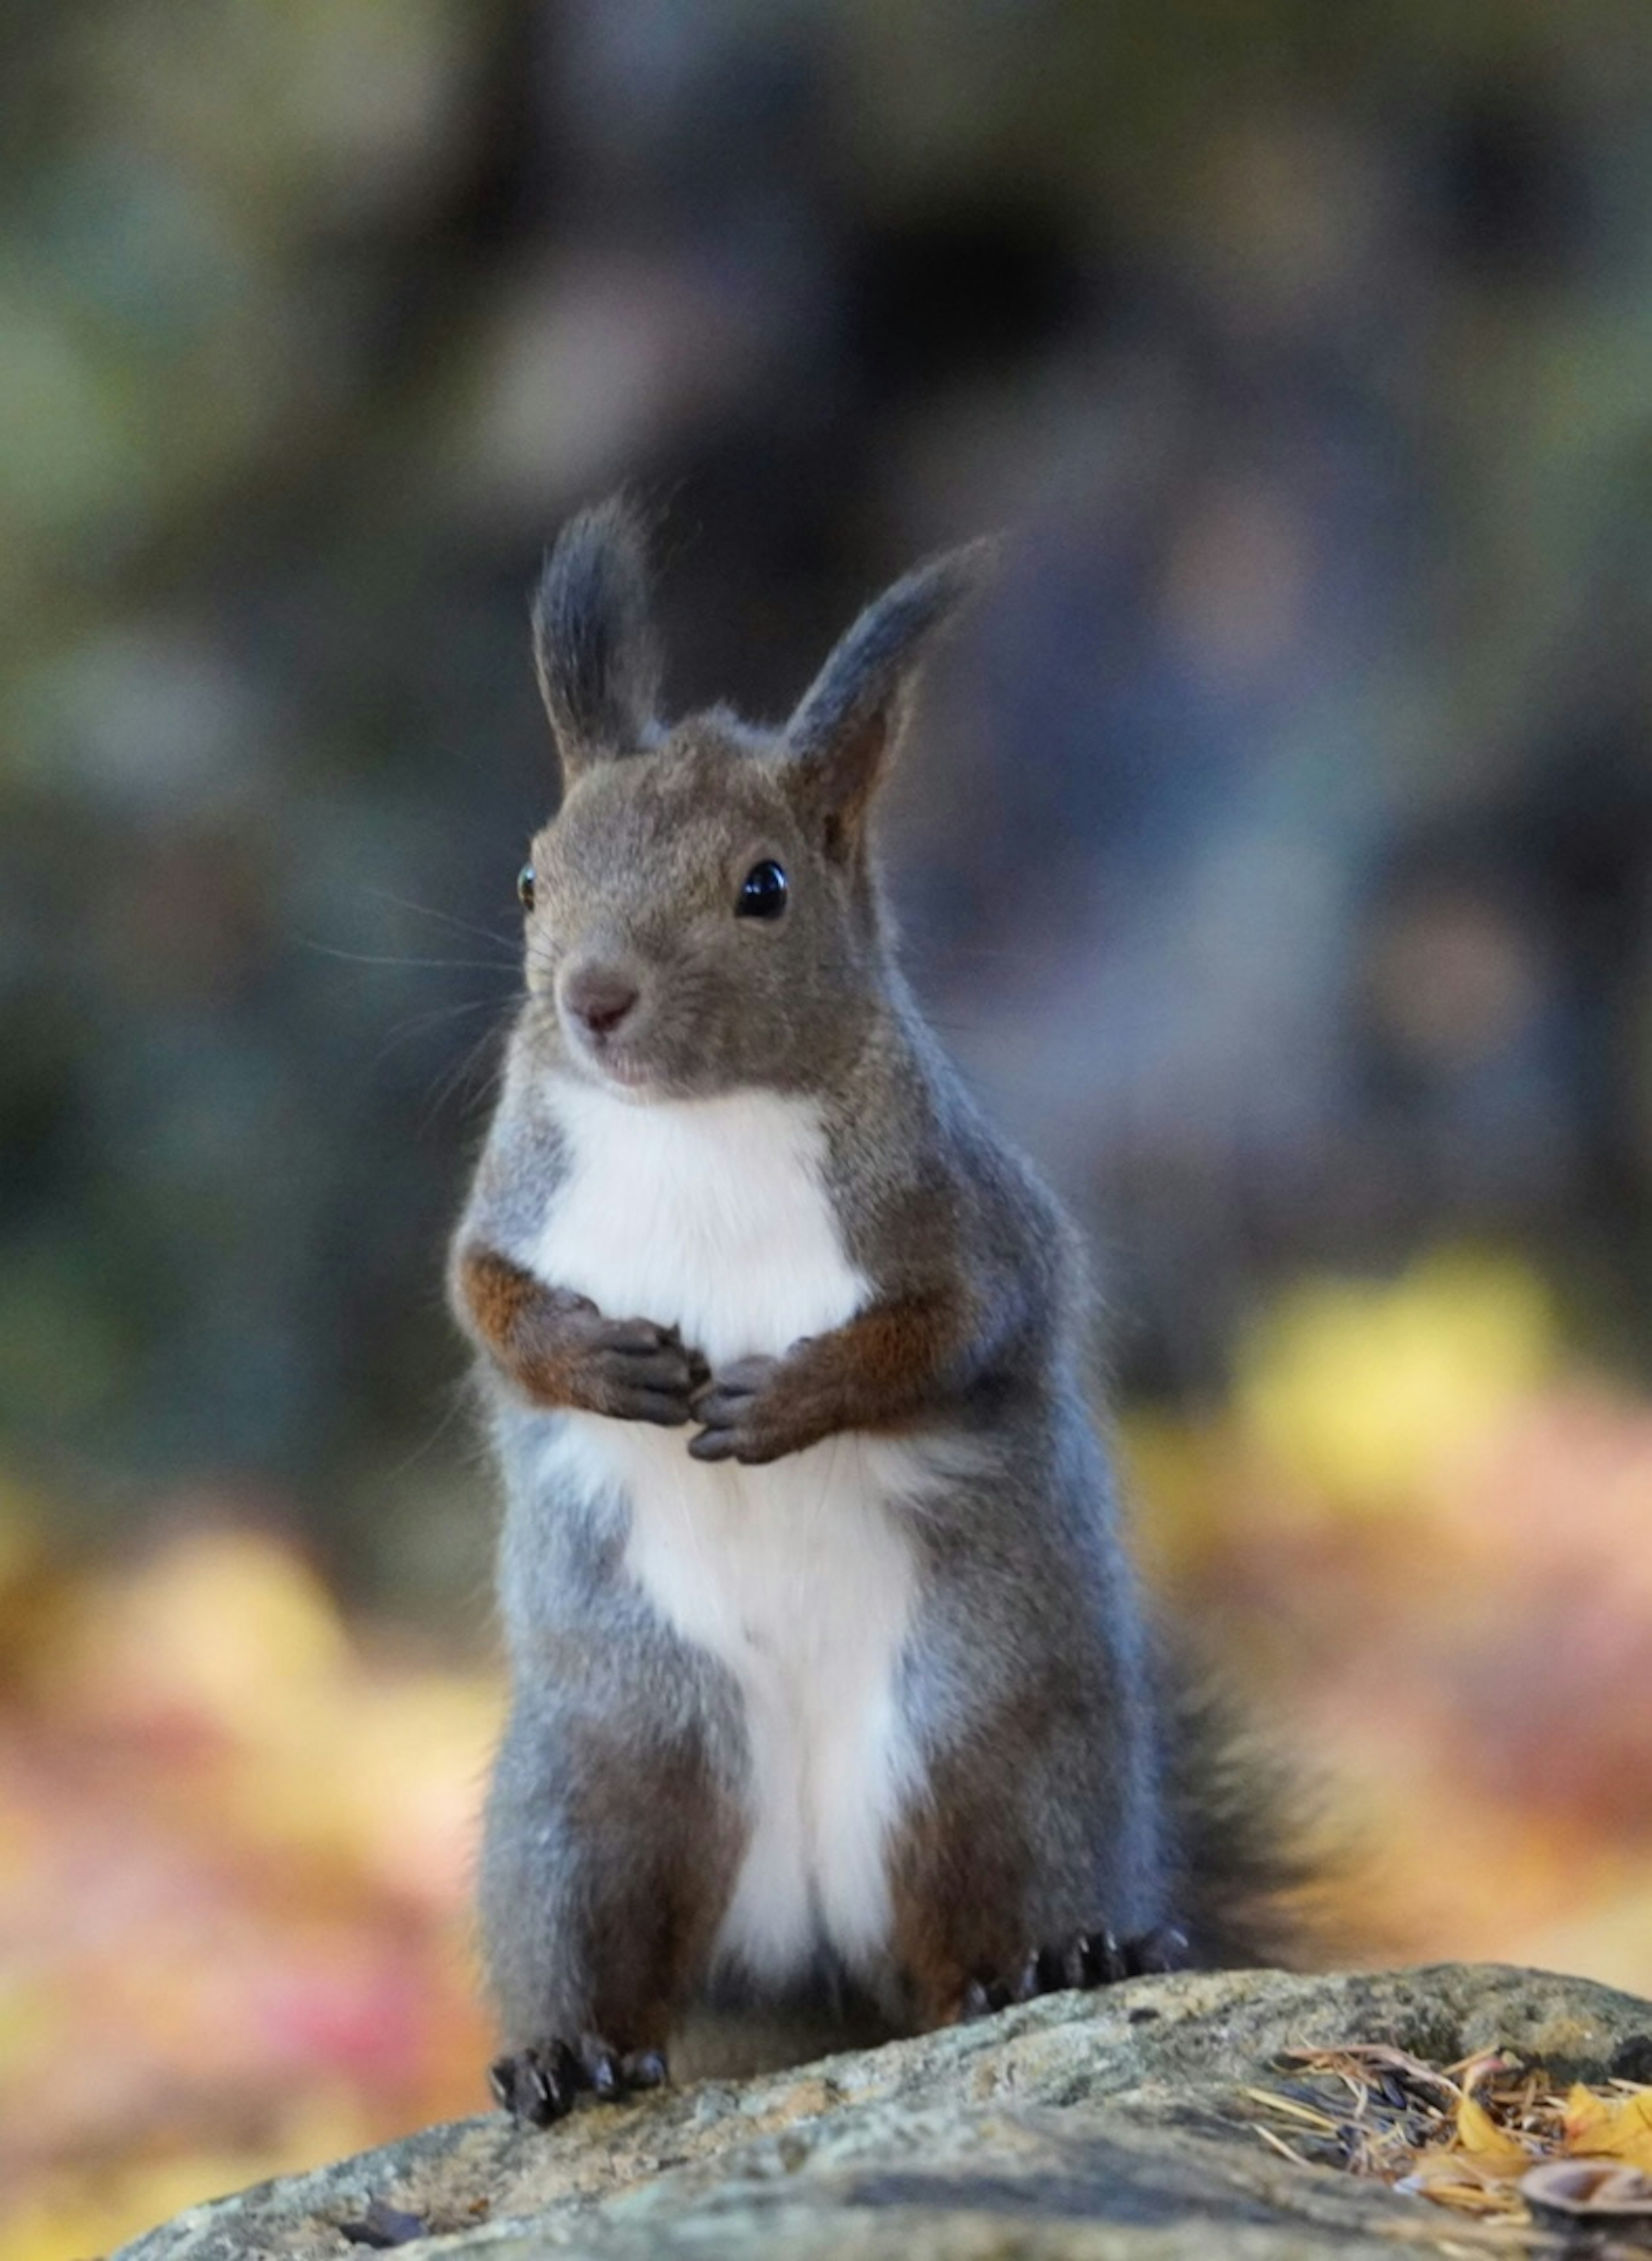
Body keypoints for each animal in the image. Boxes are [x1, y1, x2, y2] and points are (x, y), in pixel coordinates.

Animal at [445, 490, 1301, 2116]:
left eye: (763, 888)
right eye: (528, 877)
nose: (591, 1001)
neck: (697, 1122)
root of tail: (812, 1957)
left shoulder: (969, 1223)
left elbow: (951, 1330)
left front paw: (791, 1397)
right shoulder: (514, 1198)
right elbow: (488, 1305)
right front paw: (606, 1365)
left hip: (988, 1762)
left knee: (974, 1924)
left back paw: (1050, 1959)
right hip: (603, 1786)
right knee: (597, 1933)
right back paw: (568, 2053)